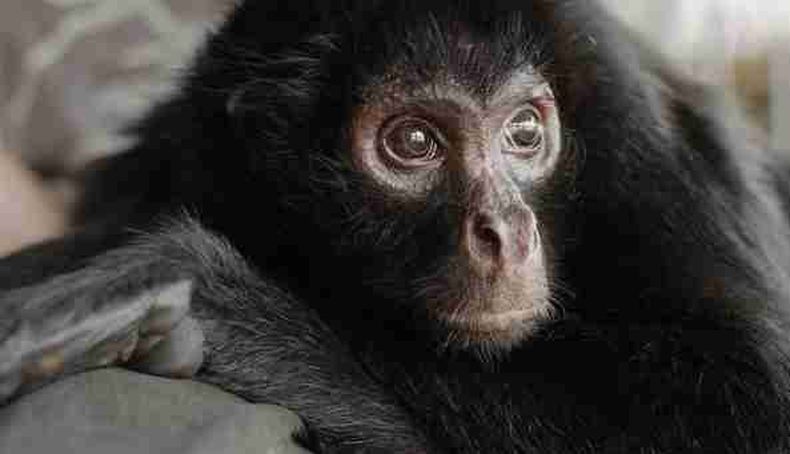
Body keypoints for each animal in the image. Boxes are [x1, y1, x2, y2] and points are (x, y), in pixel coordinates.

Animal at [3, 0, 790, 452]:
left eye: (525, 132)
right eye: (414, 142)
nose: (504, 232)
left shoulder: (630, 118)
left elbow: (748, 413)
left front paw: (212, 301)